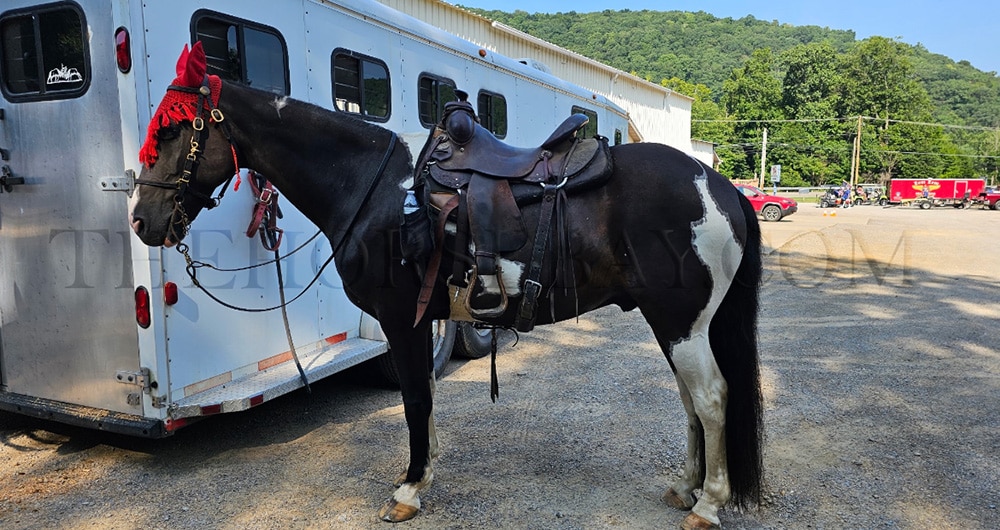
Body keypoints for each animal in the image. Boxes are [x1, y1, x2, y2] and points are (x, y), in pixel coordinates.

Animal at [129, 43, 763, 530]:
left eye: (174, 131)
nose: (141, 219)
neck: (375, 186)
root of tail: (720, 186)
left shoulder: (399, 319)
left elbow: (414, 399)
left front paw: (408, 491)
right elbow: (426, 400)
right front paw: (423, 473)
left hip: (681, 324)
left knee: (711, 398)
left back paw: (707, 504)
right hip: (673, 325)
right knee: (689, 400)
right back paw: (685, 487)